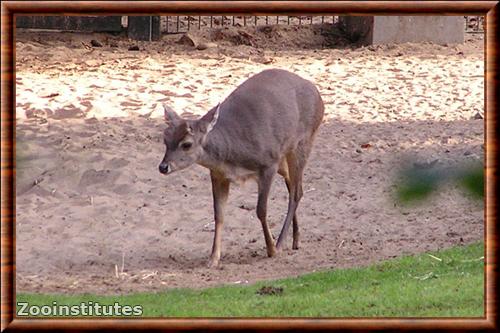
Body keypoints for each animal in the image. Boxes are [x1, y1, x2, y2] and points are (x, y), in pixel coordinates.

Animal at [159, 68, 324, 268]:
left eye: (187, 144)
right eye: (165, 139)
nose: (163, 167)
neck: (232, 157)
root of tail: (318, 94)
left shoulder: (268, 163)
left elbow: (261, 210)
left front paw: (271, 250)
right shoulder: (218, 174)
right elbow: (218, 214)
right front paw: (213, 258)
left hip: (304, 141)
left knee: (296, 192)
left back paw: (281, 243)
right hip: (284, 155)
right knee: (292, 184)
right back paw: (295, 240)